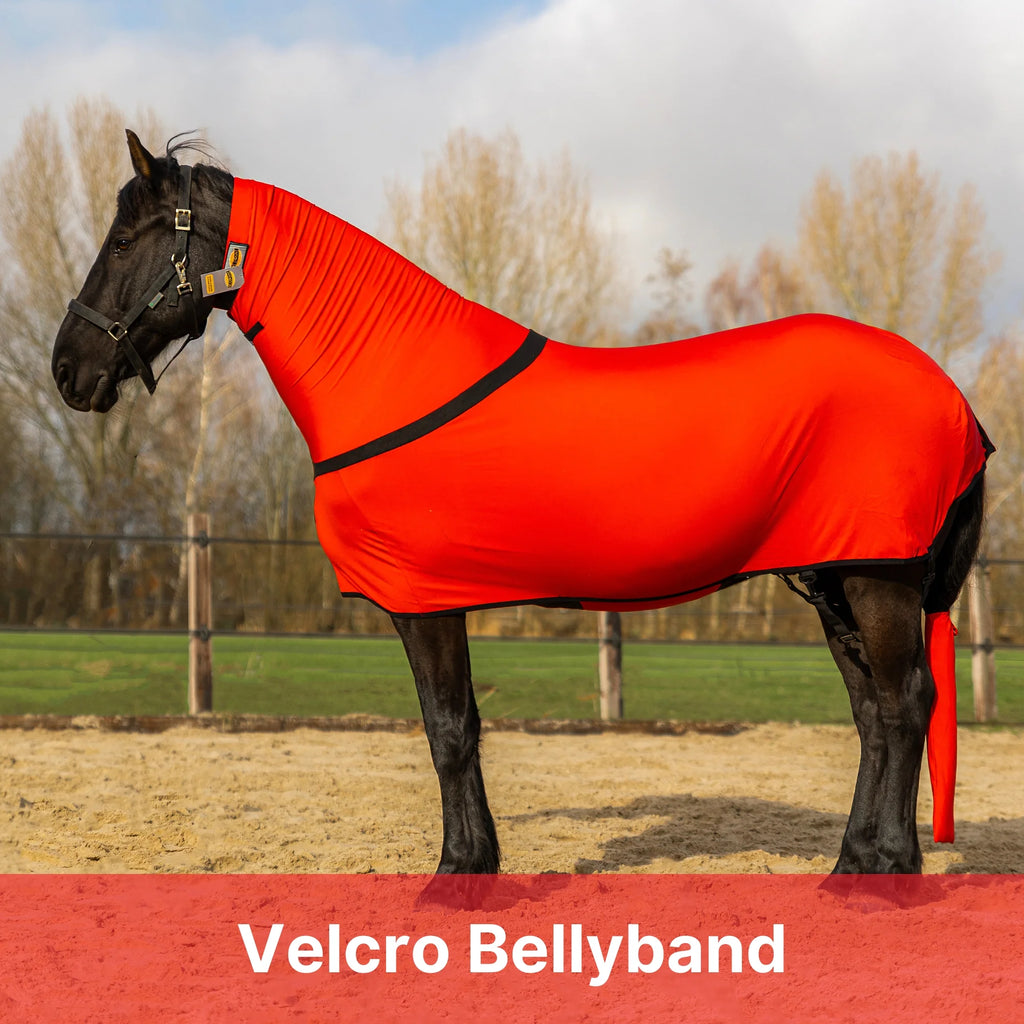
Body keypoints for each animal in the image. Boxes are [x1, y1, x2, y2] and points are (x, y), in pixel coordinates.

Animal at [52, 131, 990, 876]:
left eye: (127, 238)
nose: (68, 369)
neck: (389, 376)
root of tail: (957, 402)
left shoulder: (424, 600)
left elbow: (448, 730)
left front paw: (457, 871)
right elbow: (458, 727)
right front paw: (476, 860)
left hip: (877, 578)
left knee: (905, 704)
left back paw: (890, 867)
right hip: (835, 578)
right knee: (872, 713)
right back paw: (851, 862)